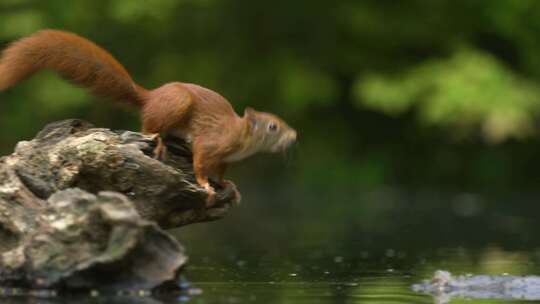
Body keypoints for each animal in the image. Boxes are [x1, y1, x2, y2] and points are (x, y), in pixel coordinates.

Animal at [0, 29, 298, 205]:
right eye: (273, 126)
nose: (294, 136)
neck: (240, 138)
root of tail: (151, 97)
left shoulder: (226, 159)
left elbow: (222, 173)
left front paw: (228, 185)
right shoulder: (210, 142)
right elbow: (200, 163)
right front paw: (206, 185)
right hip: (176, 104)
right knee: (149, 126)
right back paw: (158, 139)